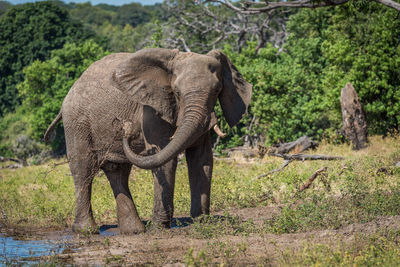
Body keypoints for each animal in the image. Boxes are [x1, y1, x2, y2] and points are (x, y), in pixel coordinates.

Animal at [43, 48, 250, 234]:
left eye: (217, 91)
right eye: (176, 92)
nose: (125, 126)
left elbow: (202, 159)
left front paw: (202, 222)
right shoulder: (151, 111)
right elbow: (164, 157)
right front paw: (159, 228)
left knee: (118, 172)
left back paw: (134, 231)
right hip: (76, 123)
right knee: (83, 170)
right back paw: (87, 231)